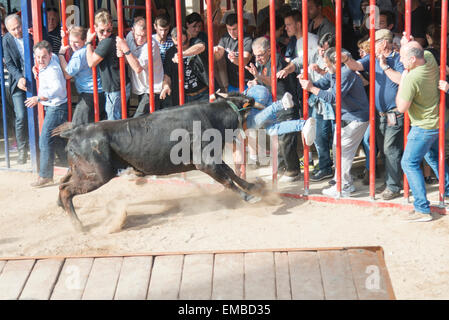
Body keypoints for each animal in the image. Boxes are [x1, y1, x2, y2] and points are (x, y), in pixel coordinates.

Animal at [56, 94, 266, 231]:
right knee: (67, 189)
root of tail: (75, 131)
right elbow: (227, 179)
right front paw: (250, 197)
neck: (212, 116)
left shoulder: (213, 158)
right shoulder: (205, 162)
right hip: (97, 175)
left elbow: (230, 172)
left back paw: (62, 207)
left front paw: (254, 186)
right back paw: (78, 225)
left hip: (82, 170)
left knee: (63, 182)